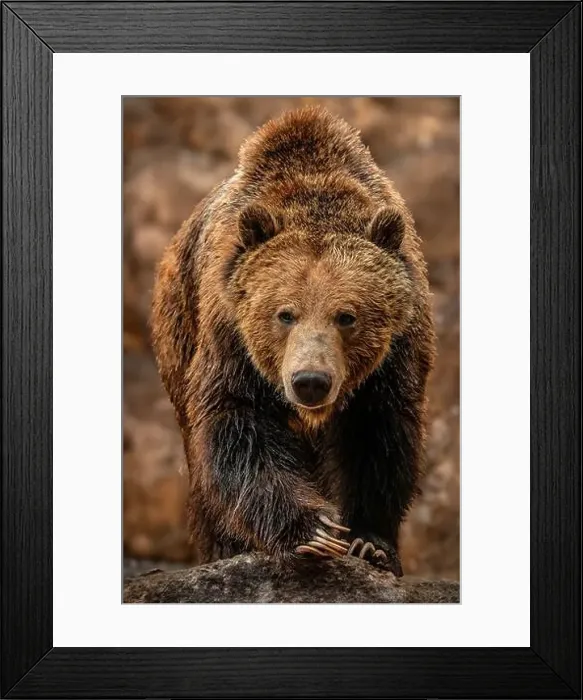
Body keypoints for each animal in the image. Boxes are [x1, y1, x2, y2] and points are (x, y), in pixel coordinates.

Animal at [151, 106, 436, 576]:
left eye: (347, 316)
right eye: (285, 314)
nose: (310, 381)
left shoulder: (395, 355)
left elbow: (380, 437)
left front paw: (369, 543)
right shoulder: (230, 336)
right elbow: (238, 426)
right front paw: (313, 531)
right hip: (178, 338)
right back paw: (225, 545)